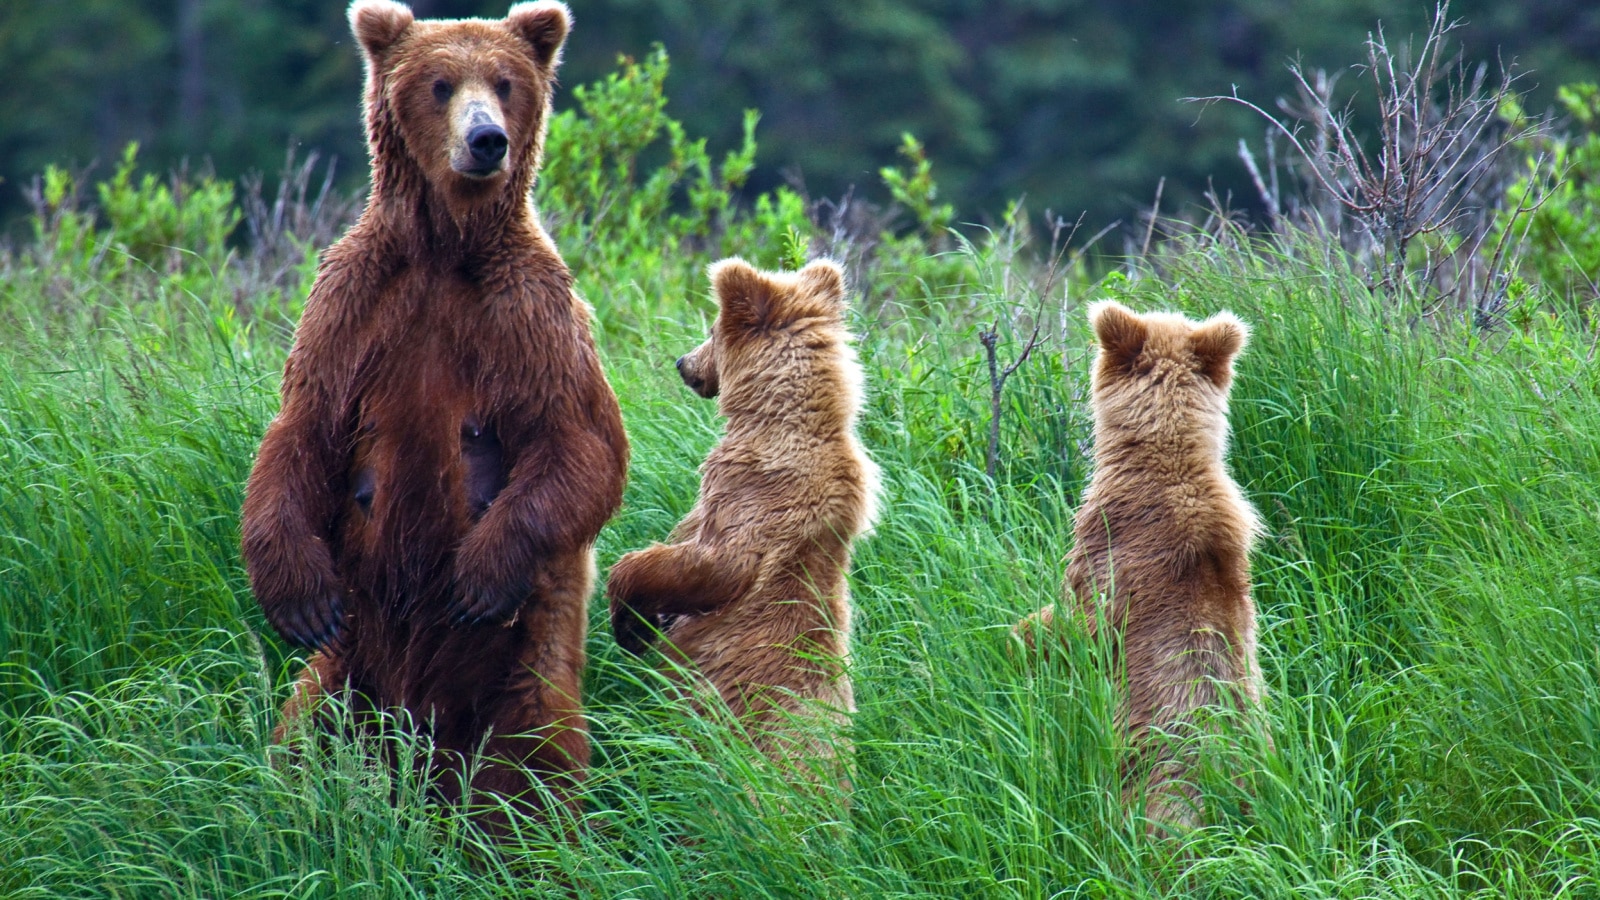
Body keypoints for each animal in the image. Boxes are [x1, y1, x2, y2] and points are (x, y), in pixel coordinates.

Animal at [240, 0, 627, 826]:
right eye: (441, 83)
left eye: (505, 82)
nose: (486, 141)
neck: (446, 248)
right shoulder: (355, 302)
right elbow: (302, 430)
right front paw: (297, 595)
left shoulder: (528, 314)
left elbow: (580, 443)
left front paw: (479, 574)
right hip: (350, 665)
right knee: (303, 732)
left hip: (520, 671)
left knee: (533, 762)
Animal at [604, 257, 883, 771]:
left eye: (711, 329)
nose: (682, 363)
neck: (775, 420)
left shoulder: (754, 494)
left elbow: (712, 564)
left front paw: (630, 621)